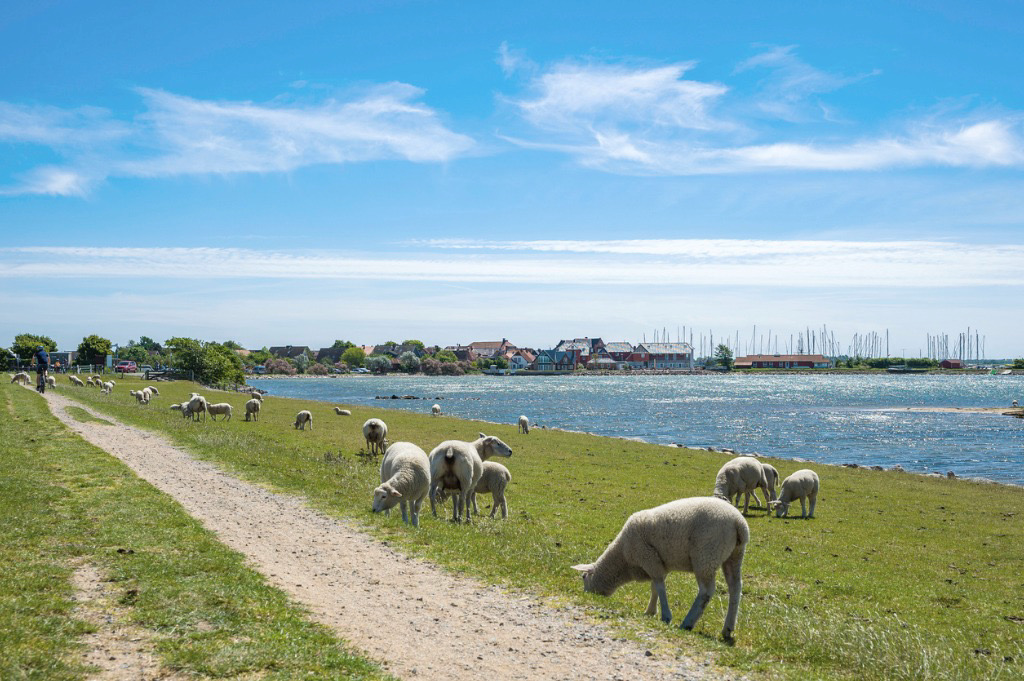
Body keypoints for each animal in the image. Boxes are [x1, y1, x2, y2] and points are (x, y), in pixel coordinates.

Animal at [573, 497, 749, 639]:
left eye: (583, 577)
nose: (585, 594)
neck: (622, 557)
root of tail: (738, 523)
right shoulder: (658, 563)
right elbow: (655, 587)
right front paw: (651, 611)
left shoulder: (649, 558)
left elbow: (659, 586)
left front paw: (664, 615)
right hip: (734, 555)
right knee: (735, 588)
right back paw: (727, 629)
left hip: (706, 555)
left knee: (706, 592)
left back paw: (688, 623)